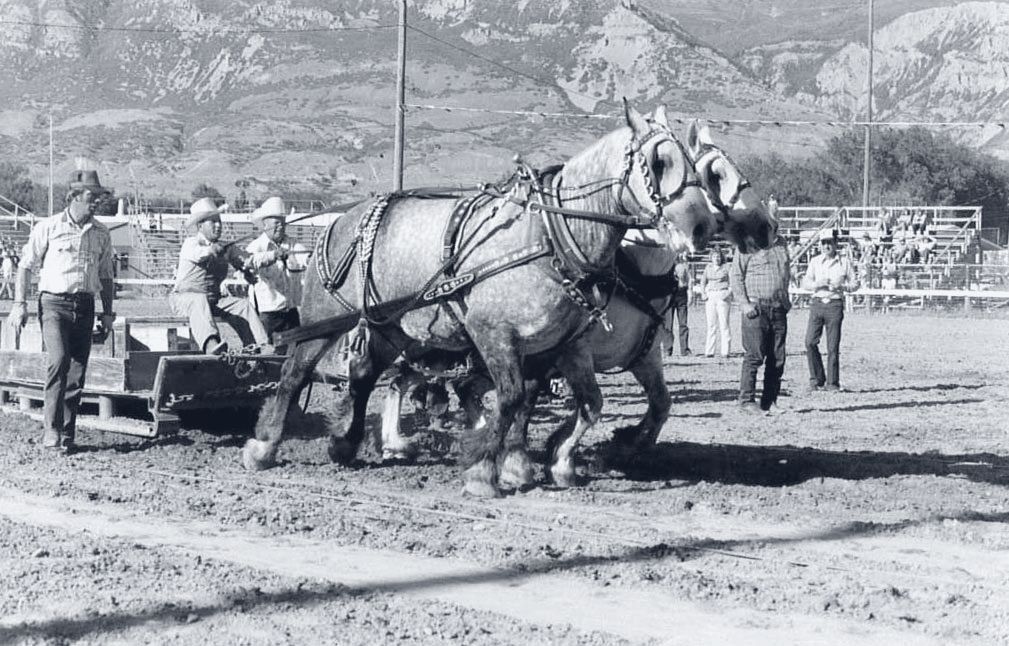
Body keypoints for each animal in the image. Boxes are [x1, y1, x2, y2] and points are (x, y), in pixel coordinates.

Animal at [244, 103, 721, 498]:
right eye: (659, 162)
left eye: (693, 163)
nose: (702, 227)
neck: (550, 235)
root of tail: (340, 220)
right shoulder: (495, 334)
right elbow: (511, 399)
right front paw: (484, 471)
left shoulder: (563, 346)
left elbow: (588, 404)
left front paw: (555, 462)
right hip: (325, 319)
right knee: (294, 374)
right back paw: (264, 446)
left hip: (394, 327)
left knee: (365, 376)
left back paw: (346, 443)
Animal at [374, 119, 774, 468]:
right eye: (716, 173)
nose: (768, 226)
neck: (632, 270)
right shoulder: (570, 351)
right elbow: (572, 403)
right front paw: (537, 456)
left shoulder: (644, 355)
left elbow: (660, 404)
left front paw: (621, 445)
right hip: (432, 345)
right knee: (409, 380)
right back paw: (405, 439)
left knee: (434, 383)